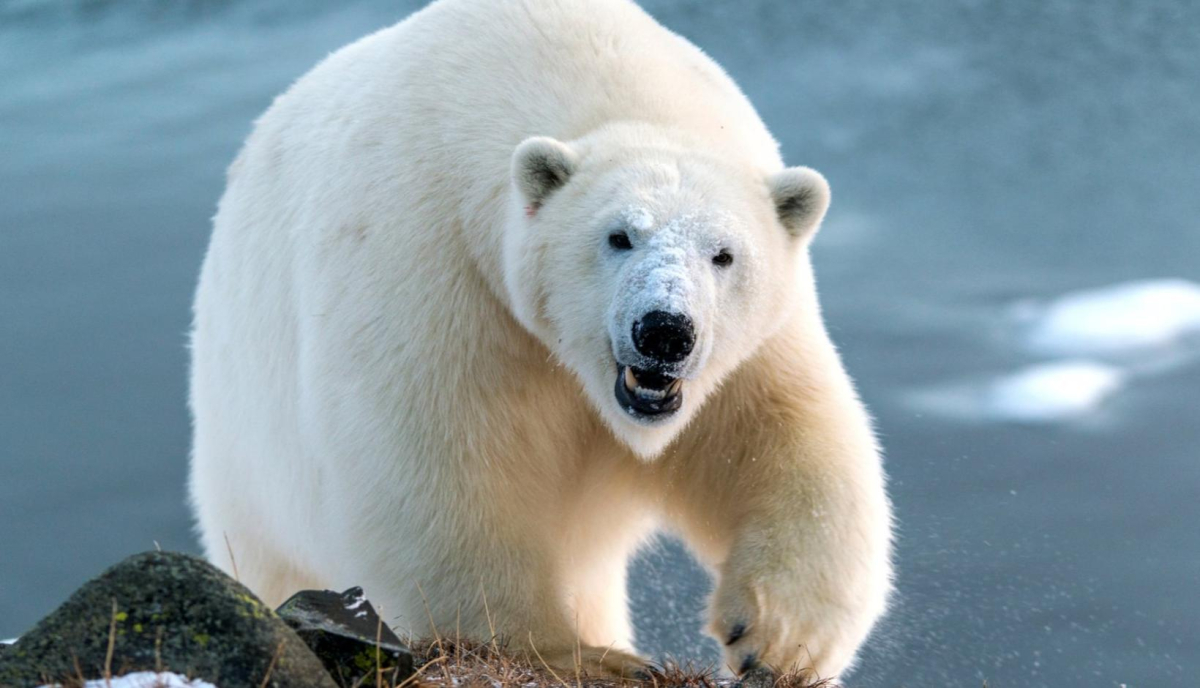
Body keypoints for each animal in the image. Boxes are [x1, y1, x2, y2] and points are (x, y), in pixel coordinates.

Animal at [189, 0, 893, 680]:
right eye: (618, 236)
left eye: (723, 254)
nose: (665, 331)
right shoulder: (435, 268)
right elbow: (437, 463)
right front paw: (582, 657)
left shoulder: (750, 347)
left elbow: (785, 439)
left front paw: (774, 639)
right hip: (248, 466)